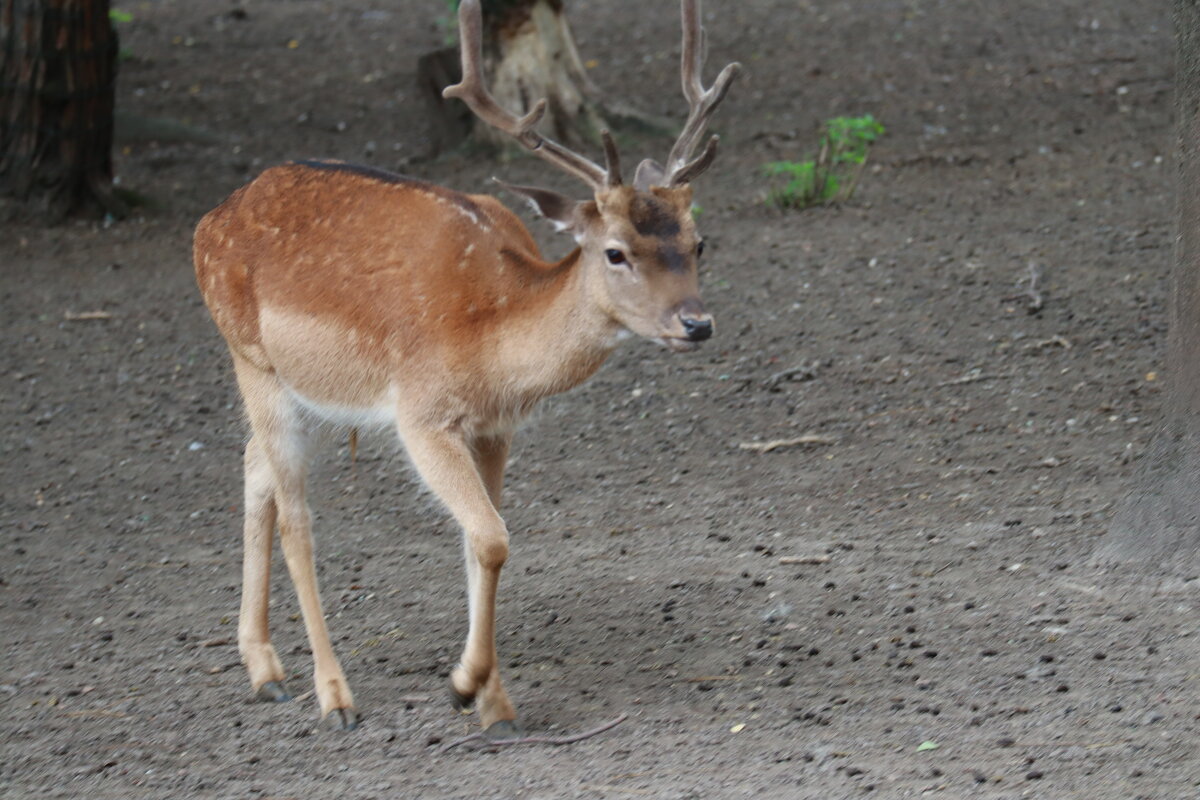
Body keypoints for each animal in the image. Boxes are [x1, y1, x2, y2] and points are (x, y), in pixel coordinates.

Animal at [194, 0, 739, 738]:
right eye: (616, 252)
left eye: (698, 241)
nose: (696, 324)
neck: (490, 339)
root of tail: (207, 221)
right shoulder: (422, 414)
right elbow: (489, 536)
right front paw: (462, 686)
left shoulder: (495, 428)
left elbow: (482, 541)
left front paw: (494, 703)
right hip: (251, 357)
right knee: (295, 517)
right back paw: (333, 695)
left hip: (316, 394)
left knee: (254, 468)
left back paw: (264, 670)